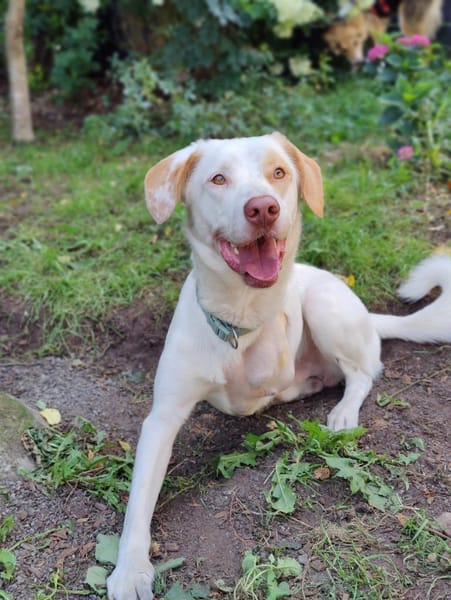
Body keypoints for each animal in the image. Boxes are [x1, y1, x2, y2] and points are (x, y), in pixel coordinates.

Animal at [107, 133, 451, 599]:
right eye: (218, 178)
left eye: (279, 172)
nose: (263, 208)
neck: (239, 319)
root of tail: (369, 315)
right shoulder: (161, 418)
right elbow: (138, 503)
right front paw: (129, 569)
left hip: (323, 305)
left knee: (363, 372)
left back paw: (343, 411)